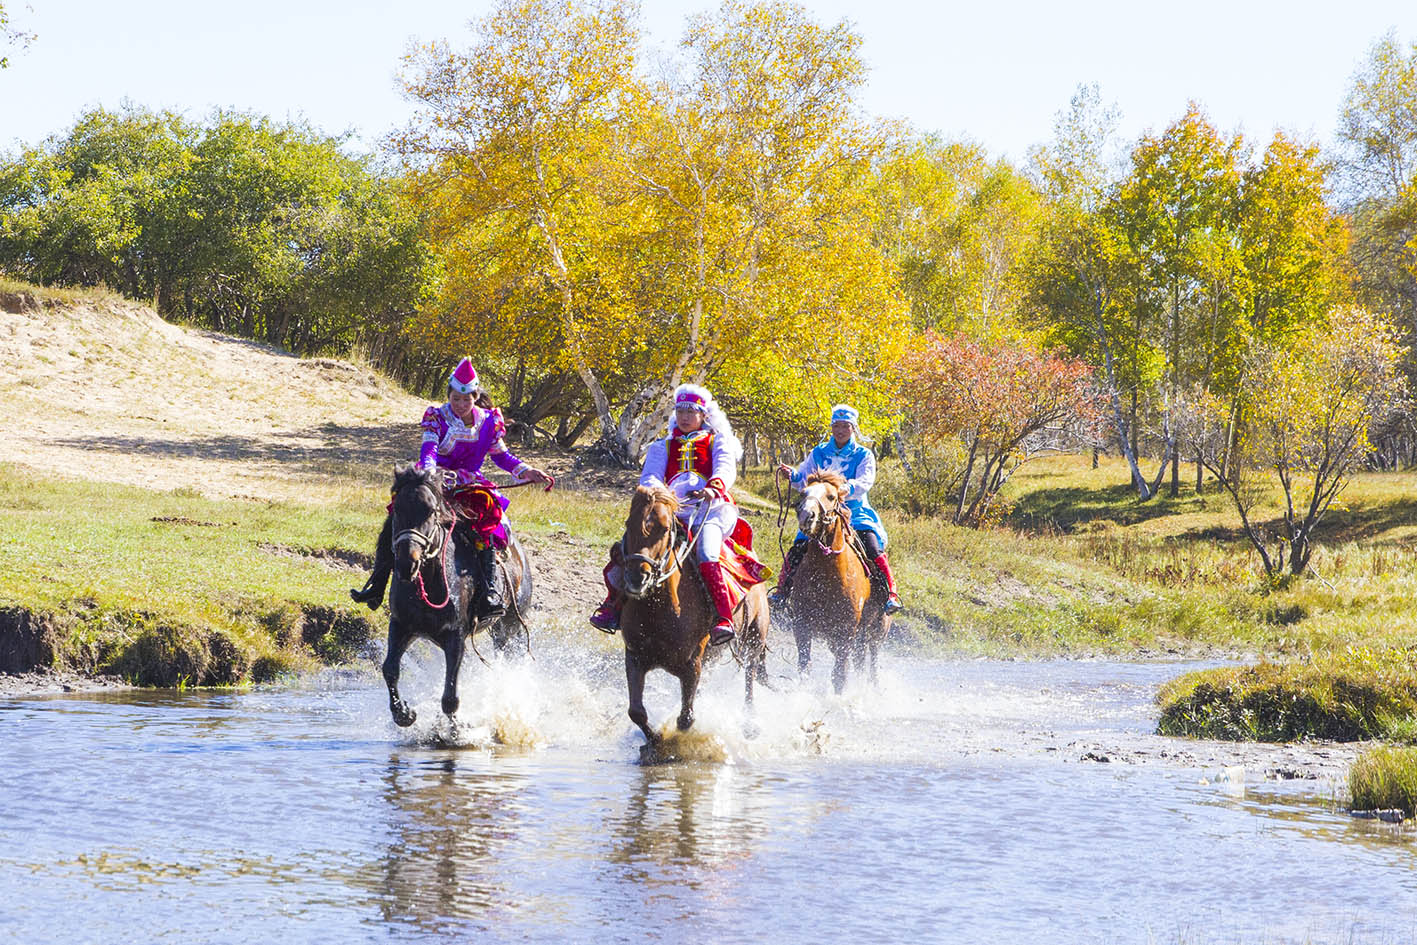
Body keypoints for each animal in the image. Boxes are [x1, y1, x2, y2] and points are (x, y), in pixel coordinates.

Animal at [382, 461, 532, 731]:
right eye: (396, 510)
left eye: (431, 512)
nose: (407, 564)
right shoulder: (401, 626)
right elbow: (390, 669)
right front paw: (404, 713)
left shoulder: (456, 636)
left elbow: (450, 695)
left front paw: (455, 732)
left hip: (509, 625)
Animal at [617, 487, 770, 753]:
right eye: (629, 523)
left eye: (664, 529)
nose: (637, 577)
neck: (659, 609)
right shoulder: (635, 657)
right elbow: (636, 712)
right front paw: (654, 742)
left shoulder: (692, 664)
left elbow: (685, 720)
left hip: (754, 639)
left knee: (750, 678)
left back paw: (750, 725)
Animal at [787, 470, 884, 691]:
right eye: (803, 493)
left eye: (831, 496)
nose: (807, 516)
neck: (826, 576)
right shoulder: (802, 625)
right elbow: (804, 667)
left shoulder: (845, 633)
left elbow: (840, 675)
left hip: (877, 631)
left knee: (873, 662)